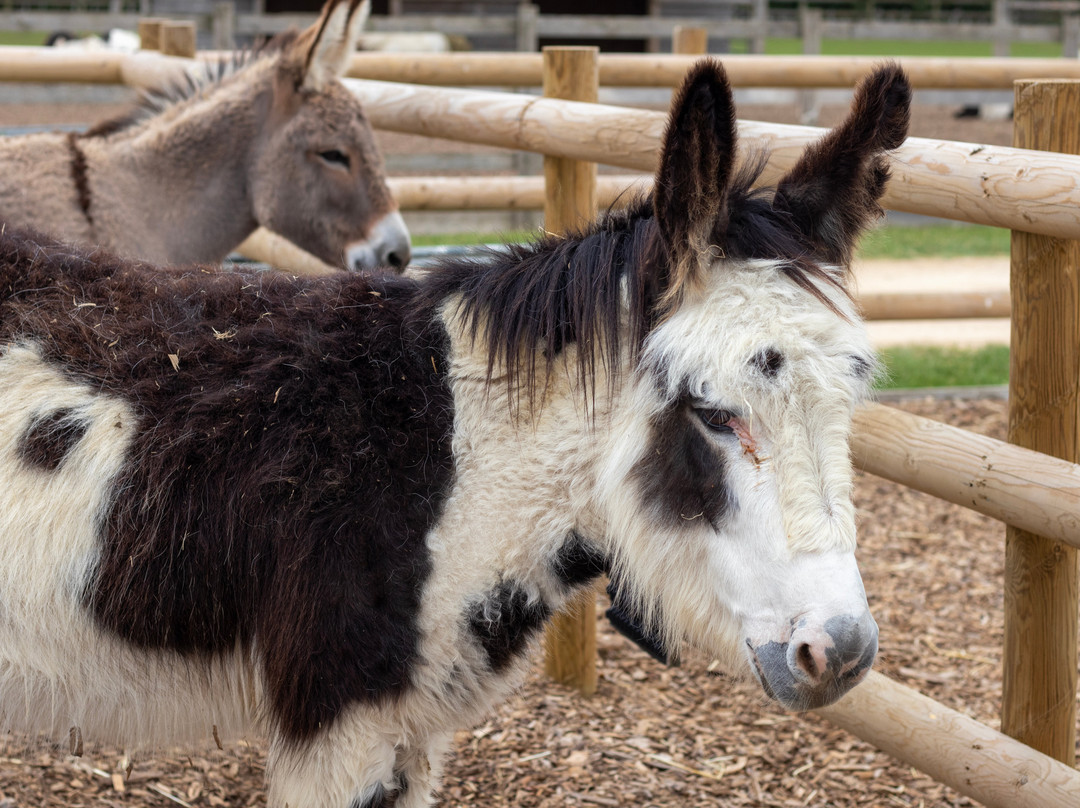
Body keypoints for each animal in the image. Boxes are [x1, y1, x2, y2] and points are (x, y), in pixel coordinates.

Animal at [0, 60, 910, 807]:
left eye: (850, 401)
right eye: (713, 413)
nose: (840, 652)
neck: (453, 461)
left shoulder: (407, 730)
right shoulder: (342, 722)